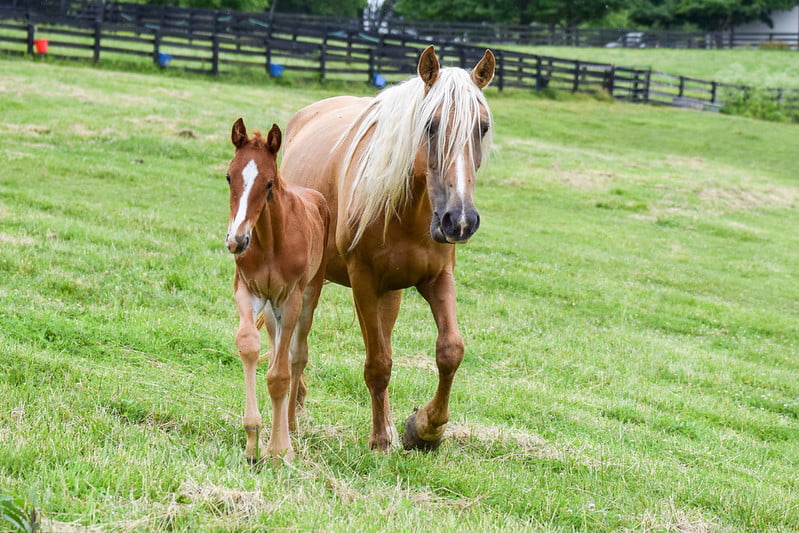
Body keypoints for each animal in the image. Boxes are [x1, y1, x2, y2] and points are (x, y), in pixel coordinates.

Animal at [225, 118, 329, 462]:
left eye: (269, 183)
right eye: (229, 176)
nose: (236, 240)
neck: (271, 240)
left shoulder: (291, 298)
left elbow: (281, 375)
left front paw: (279, 449)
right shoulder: (248, 291)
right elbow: (249, 346)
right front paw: (252, 438)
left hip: (308, 296)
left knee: (296, 357)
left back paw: (291, 426)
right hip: (272, 310)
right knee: (274, 351)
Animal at [279, 45, 495, 452]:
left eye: (483, 127)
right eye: (430, 125)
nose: (459, 220)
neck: (408, 212)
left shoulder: (437, 278)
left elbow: (450, 351)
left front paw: (423, 429)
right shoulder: (363, 282)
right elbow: (377, 364)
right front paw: (380, 440)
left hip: (390, 293)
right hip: (312, 283)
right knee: (297, 346)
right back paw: (292, 418)